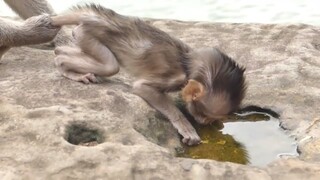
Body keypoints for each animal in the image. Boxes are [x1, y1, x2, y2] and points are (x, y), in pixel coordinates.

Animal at [50, 3, 245, 145]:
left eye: (209, 118)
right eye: (203, 114)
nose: (205, 123)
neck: (187, 63)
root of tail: (96, 17)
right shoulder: (174, 78)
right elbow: (142, 87)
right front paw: (185, 125)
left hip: (82, 35)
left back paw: (60, 52)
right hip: (87, 33)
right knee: (110, 66)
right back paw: (63, 63)